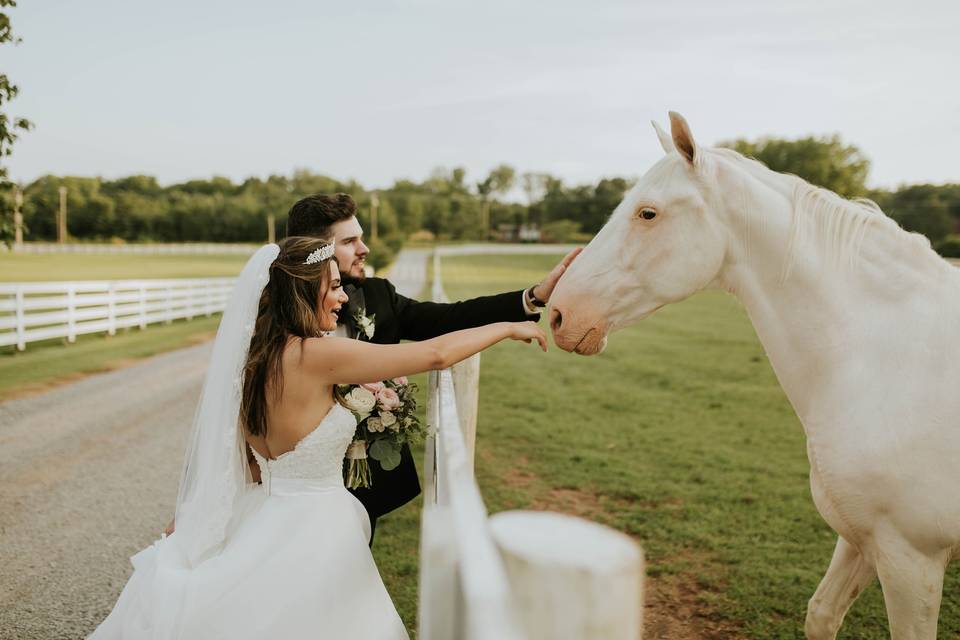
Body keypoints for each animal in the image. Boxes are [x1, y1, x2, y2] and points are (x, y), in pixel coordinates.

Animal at [548, 114, 960, 640]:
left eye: (647, 213)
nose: (559, 313)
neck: (887, 359)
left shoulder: (912, 558)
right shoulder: (864, 539)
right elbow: (821, 615)